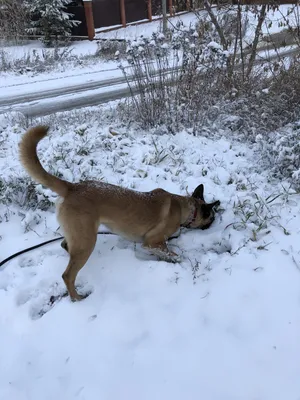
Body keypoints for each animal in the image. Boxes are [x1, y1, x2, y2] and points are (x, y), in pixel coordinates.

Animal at [19, 126, 220, 302]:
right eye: (212, 217)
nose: (214, 224)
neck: (186, 207)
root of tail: (73, 187)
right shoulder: (152, 242)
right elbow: (173, 254)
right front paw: (178, 260)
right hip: (87, 241)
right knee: (67, 275)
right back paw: (77, 298)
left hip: (78, 236)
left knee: (65, 246)